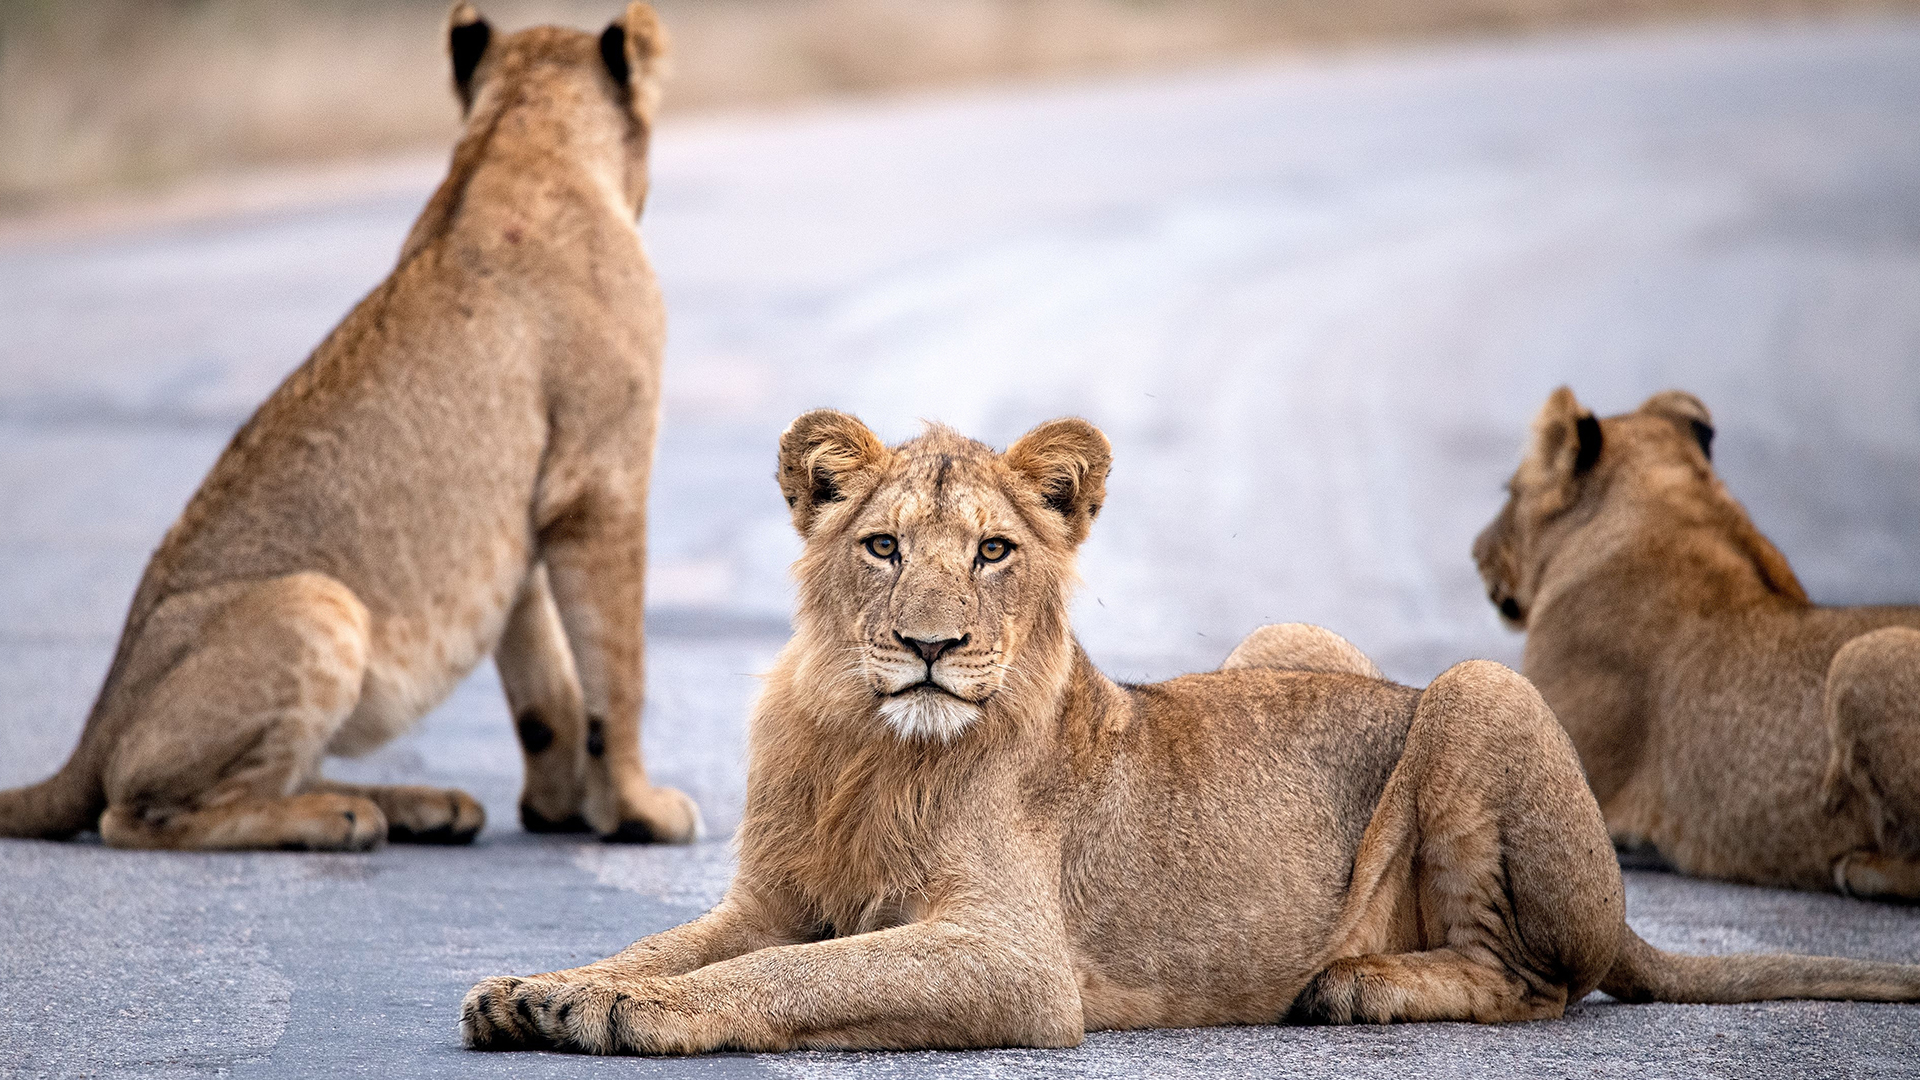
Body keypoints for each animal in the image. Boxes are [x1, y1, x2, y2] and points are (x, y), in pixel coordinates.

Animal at [0, 3, 700, 851]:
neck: (515, 132)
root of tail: (90, 736)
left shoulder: (526, 516)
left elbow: (546, 682)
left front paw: (558, 809)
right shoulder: (599, 485)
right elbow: (616, 669)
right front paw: (636, 811)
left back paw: (422, 806)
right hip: (316, 604)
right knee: (135, 812)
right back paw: (341, 818)